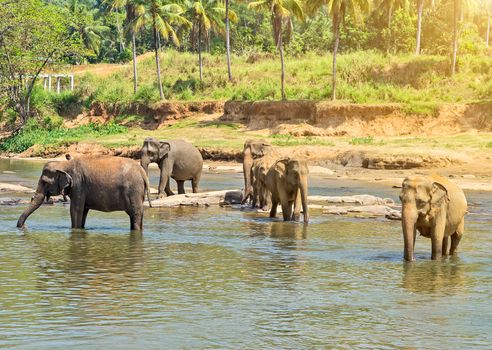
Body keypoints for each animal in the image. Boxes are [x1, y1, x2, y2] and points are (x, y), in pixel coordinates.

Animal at [16, 155, 152, 231]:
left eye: (44, 182)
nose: (24, 227)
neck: (64, 164)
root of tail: (143, 173)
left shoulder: (79, 184)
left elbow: (76, 210)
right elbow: (83, 211)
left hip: (133, 190)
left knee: (135, 214)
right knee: (136, 215)